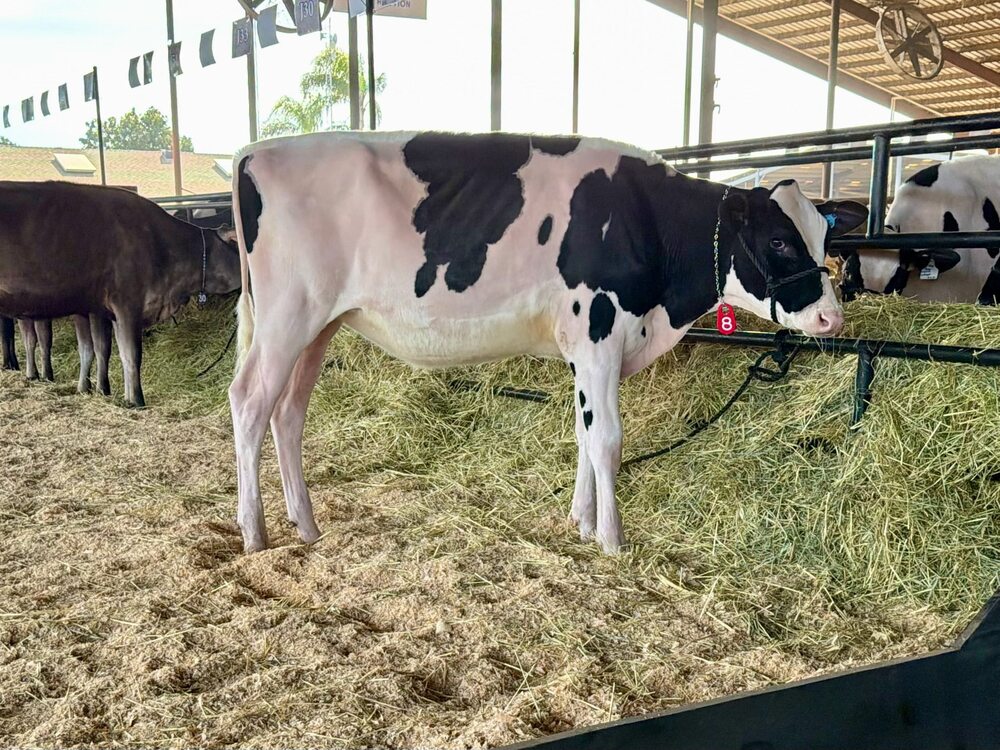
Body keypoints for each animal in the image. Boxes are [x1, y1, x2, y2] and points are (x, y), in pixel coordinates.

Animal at [0, 181, 241, 406]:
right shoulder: (127, 304)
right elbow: (131, 354)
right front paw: (137, 401)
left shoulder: (105, 310)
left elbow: (106, 350)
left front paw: (116, 395)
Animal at [227, 132, 868, 554]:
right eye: (780, 241)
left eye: (822, 234)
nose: (831, 318)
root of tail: (257, 151)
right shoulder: (599, 328)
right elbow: (607, 439)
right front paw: (611, 540)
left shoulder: (583, 346)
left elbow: (584, 434)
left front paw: (580, 522)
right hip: (288, 317)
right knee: (251, 403)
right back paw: (255, 533)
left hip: (319, 325)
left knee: (289, 413)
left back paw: (306, 524)